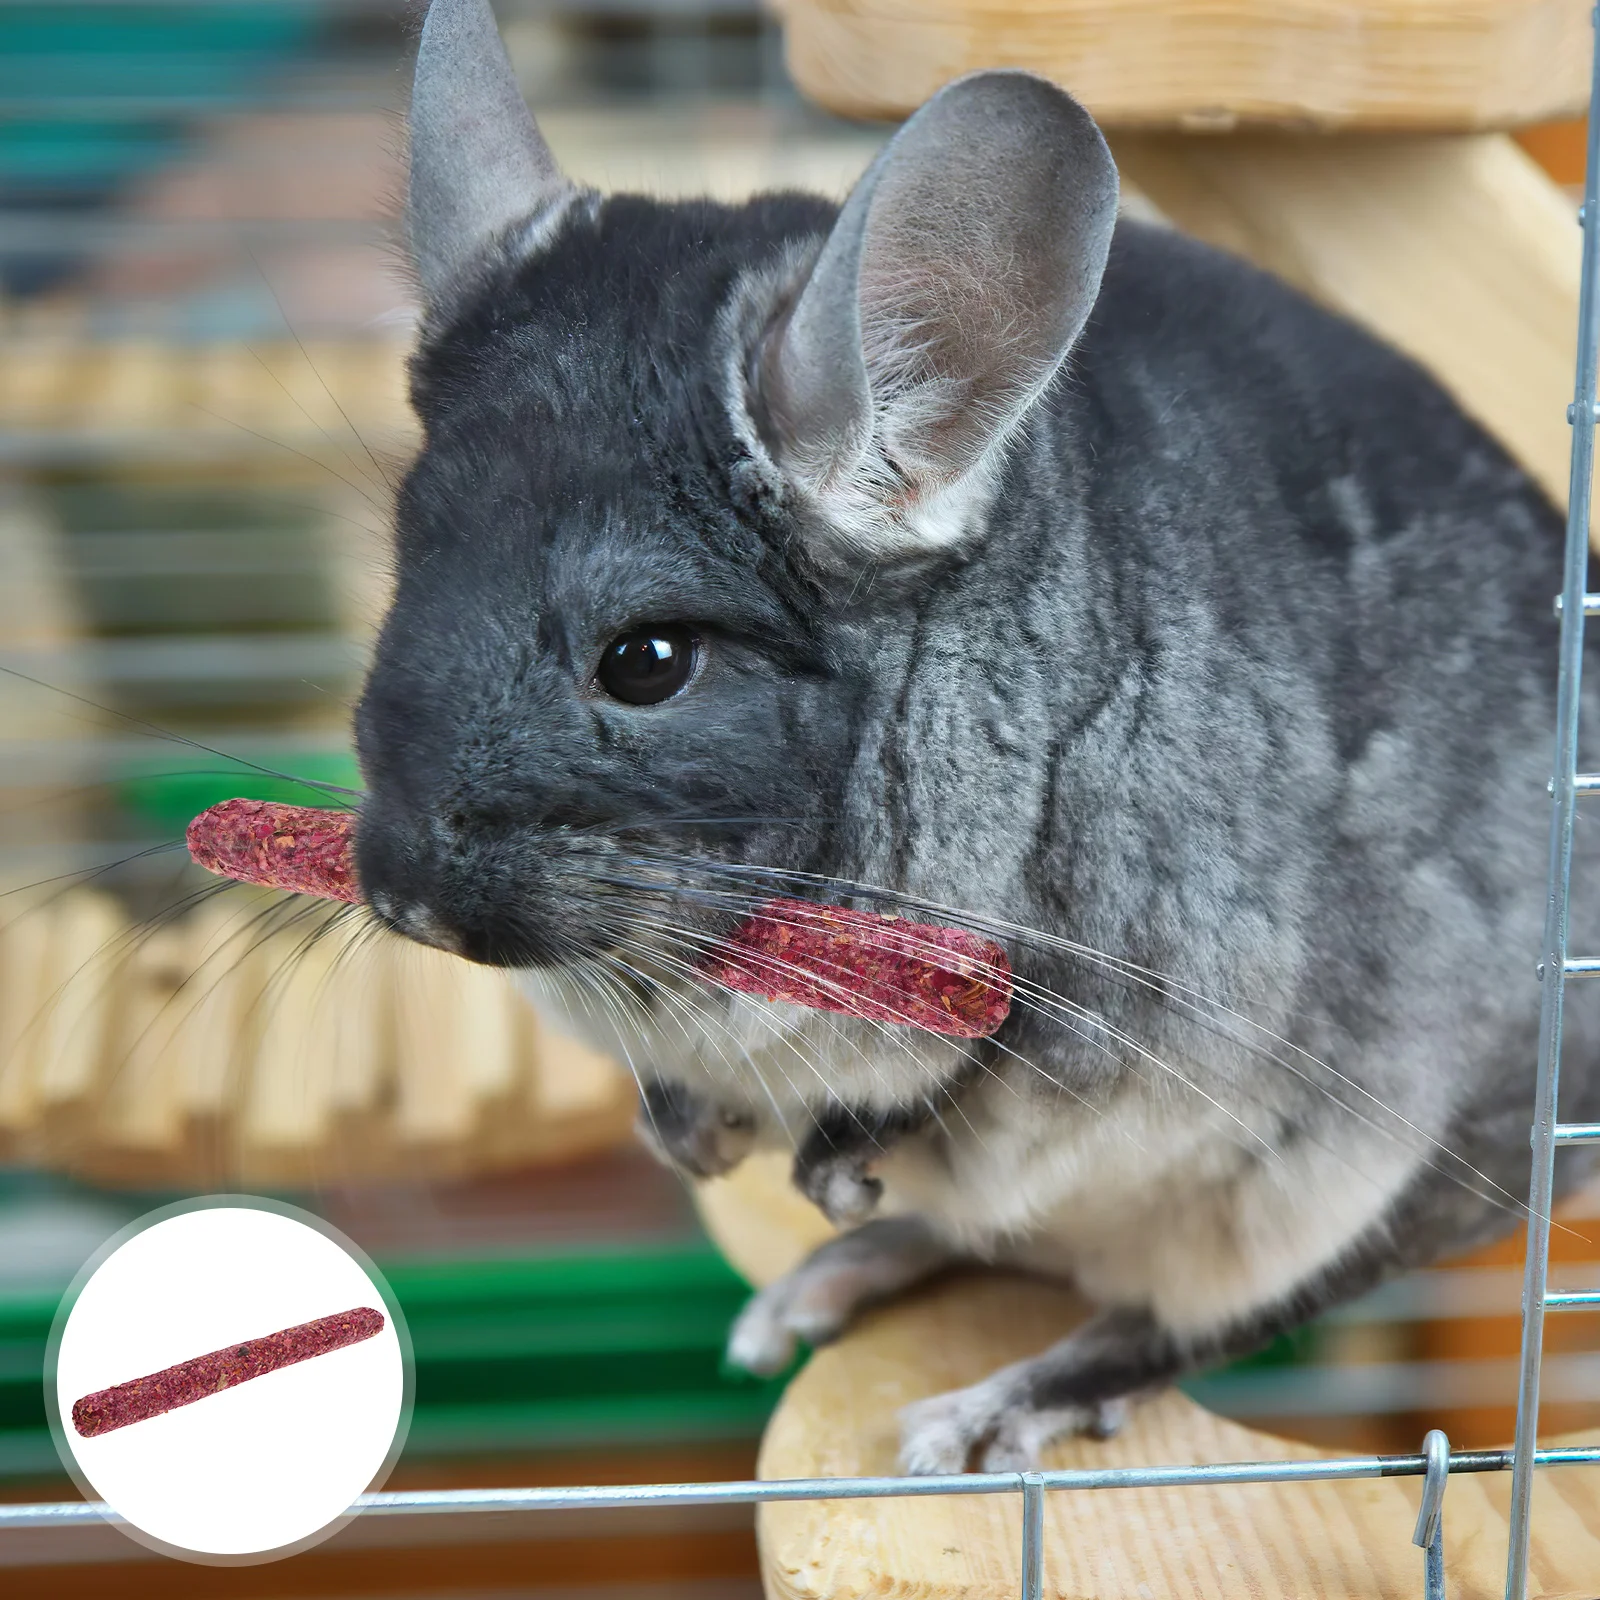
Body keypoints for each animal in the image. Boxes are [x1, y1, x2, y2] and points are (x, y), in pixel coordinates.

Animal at [353, 0, 1600, 1473]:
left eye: (645, 661)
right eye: (404, 580)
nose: (401, 896)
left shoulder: (1119, 983)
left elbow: (968, 1079)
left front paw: (824, 1165)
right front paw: (694, 1142)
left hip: (1362, 1174)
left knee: (1190, 1312)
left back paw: (982, 1401)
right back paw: (824, 1284)